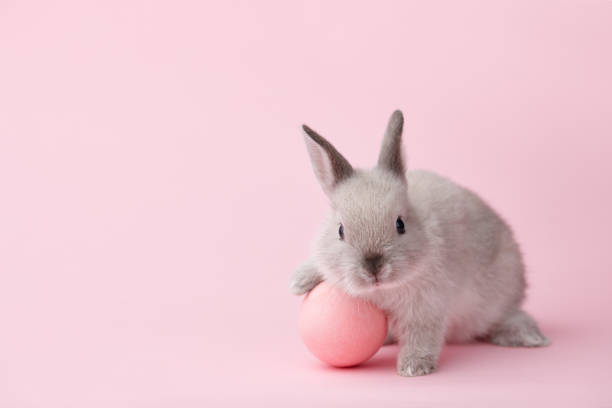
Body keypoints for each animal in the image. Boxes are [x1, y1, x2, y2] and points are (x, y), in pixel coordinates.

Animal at [290, 109, 552, 376]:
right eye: (340, 230)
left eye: (400, 224)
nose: (374, 268)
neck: (381, 290)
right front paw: (298, 282)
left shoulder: (426, 308)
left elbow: (422, 337)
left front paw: (414, 367)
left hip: (500, 298)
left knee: (509, 316)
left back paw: (530, 337)